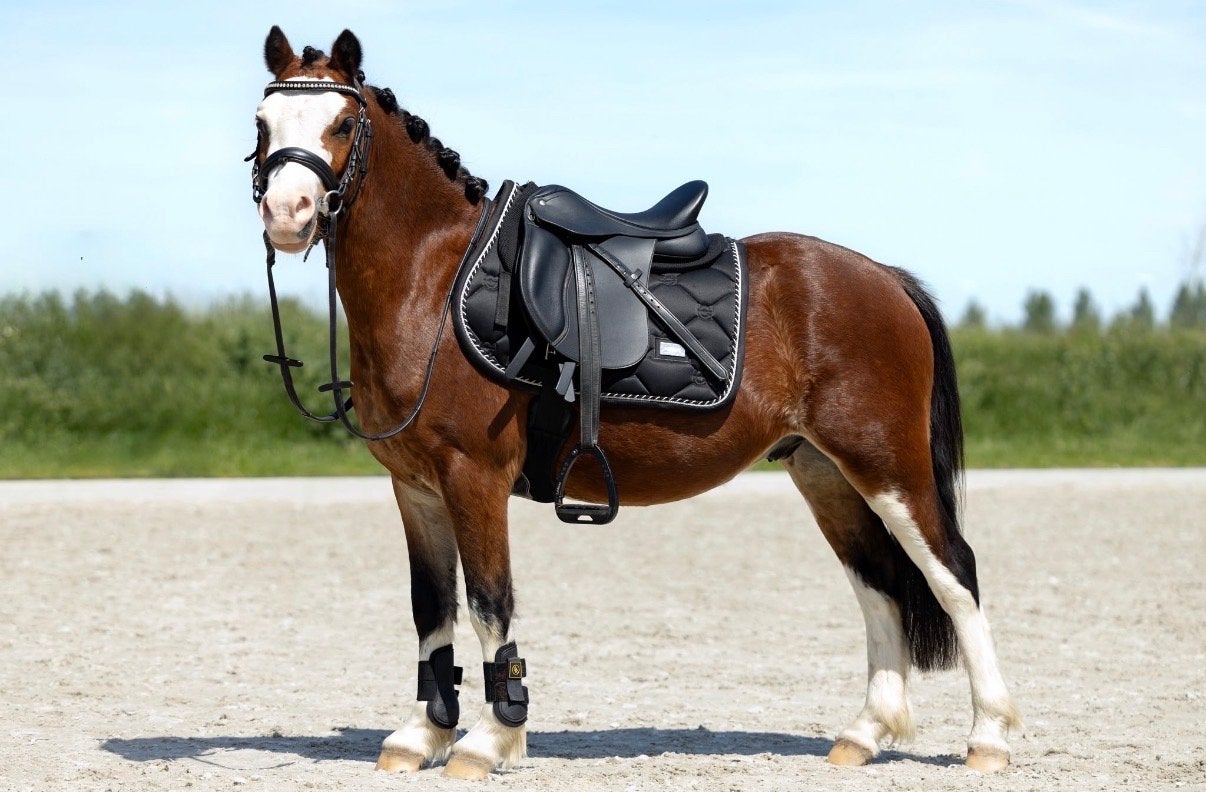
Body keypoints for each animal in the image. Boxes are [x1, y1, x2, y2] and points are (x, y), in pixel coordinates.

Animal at [249, 26, 1020, 780]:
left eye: (343, 123)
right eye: (262, 122)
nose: (287, 214)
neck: (432, 282)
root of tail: (884, 279)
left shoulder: (474, 478)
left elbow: (489, 603)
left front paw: (489, 741)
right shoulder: (415, 489)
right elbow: (430, 609)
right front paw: (421, 735)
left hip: (887, 465)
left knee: (954, 575)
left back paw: (987, 737)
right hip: (824, 471)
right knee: (880, 584)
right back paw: (864, 734)